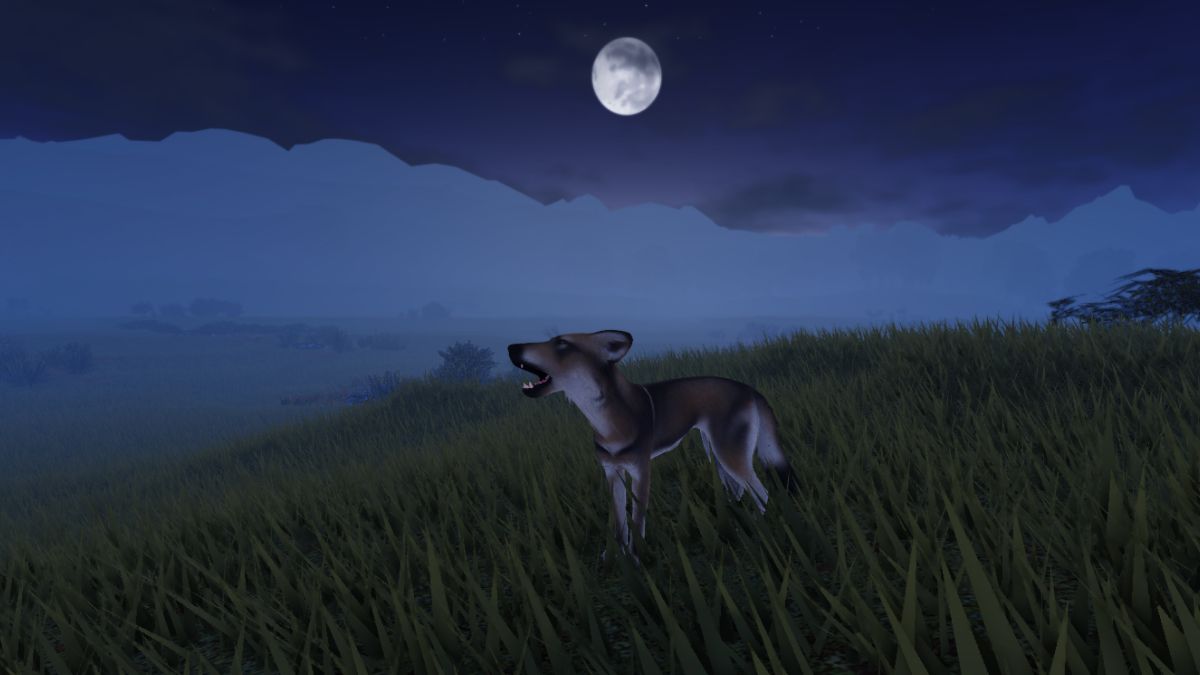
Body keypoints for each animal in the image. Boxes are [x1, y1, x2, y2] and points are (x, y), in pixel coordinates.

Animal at [507, 330, 796, 564]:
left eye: (561, 343)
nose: (511, 347)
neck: (607, 421)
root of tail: (750, 390)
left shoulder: (640, 471)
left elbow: (636, 520)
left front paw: (636, 558)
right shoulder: (612, 473)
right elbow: (618, 523)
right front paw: (614, 557)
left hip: (729, 455)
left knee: (762, 493)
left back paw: (759, 528)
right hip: (717, 452)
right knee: (739, 490)